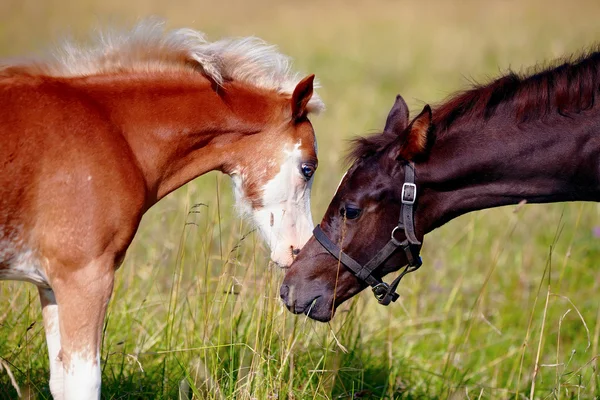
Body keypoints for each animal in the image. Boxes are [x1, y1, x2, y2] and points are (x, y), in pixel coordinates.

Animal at [0, 22, 324, 400]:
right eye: (308, 168)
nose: (299, 248)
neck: (116, 132)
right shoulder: (84, 276)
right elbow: (85, 381)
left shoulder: (49, 284)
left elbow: (61, 381)